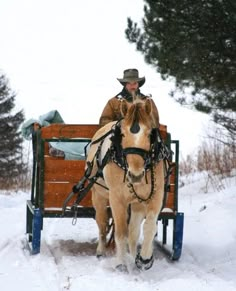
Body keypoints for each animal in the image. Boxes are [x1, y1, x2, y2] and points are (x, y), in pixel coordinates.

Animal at [85, 97, 165, 272]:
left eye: (149, 134)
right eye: (122, 134)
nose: (135, 175)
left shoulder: (155, 196)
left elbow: (149, 227)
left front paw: (144, 258)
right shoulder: (117, 198)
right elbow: (120, 232)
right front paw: (120, 263)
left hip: (136, 203)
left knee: (133, 232)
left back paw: (134, 256)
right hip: (99, 195)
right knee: (102, 224)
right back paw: (101, 250)